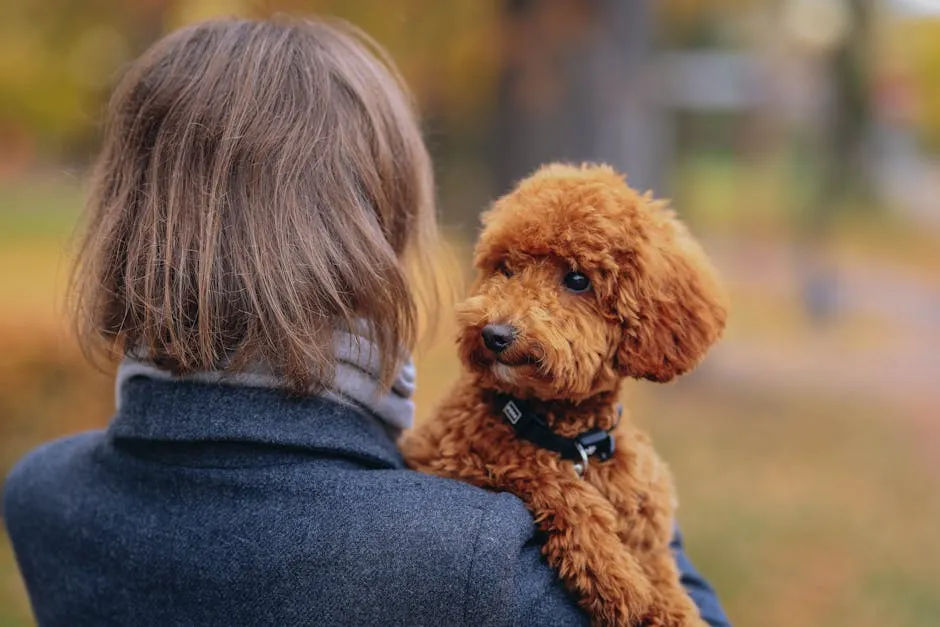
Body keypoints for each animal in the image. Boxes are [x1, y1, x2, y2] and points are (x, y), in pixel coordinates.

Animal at [400, 164, 732, 624]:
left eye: (577, 280)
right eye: (505, 268)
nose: (494, 334)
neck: (568, 434)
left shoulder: (650, 532)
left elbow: (669, 588)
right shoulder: (454, 453)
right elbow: (549, 480)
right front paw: (617, 578)